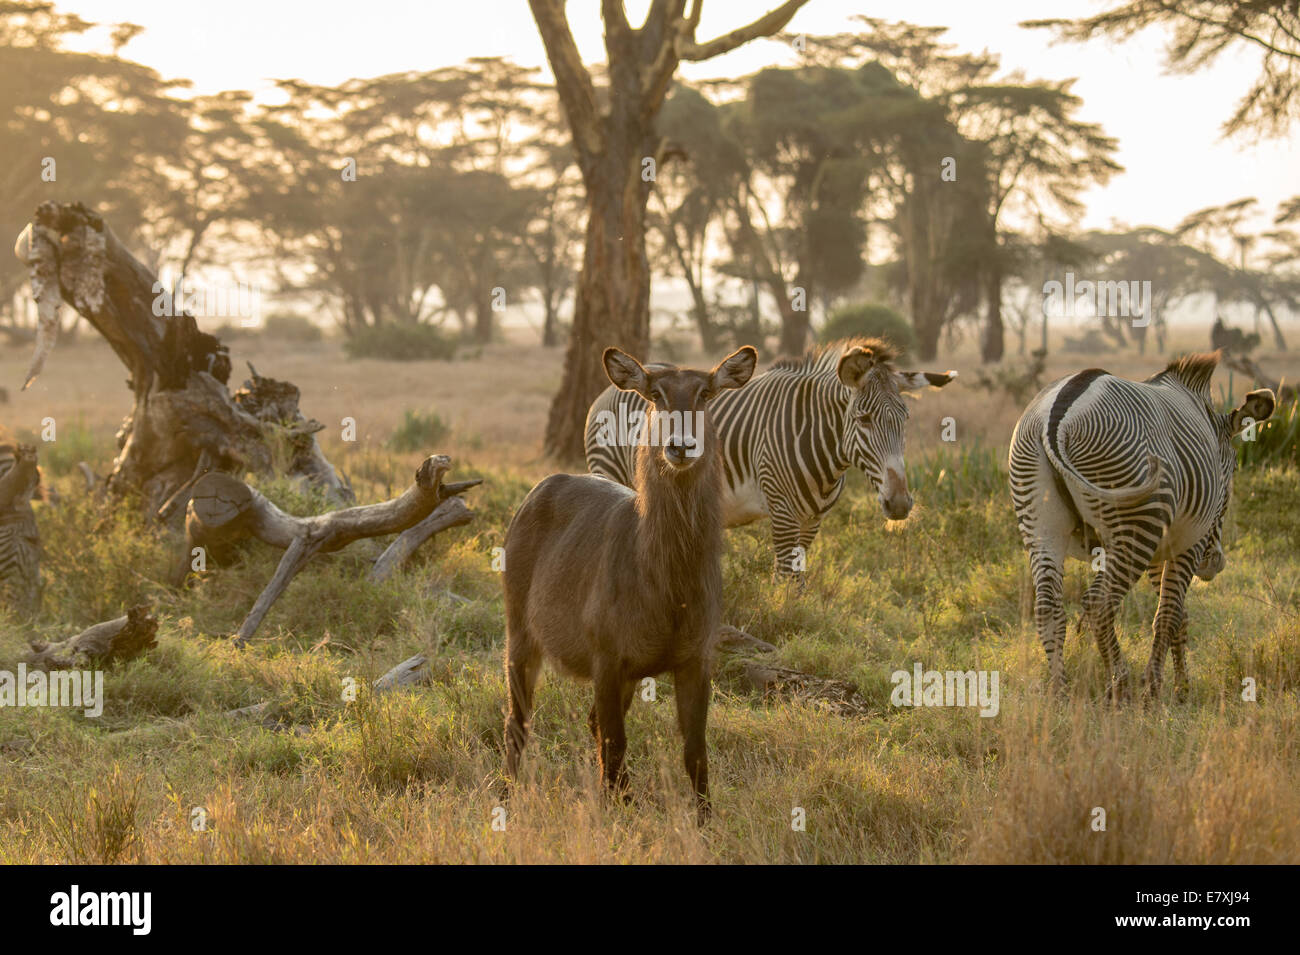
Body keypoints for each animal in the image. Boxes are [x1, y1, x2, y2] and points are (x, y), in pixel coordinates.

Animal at [501, 348, 759, 815]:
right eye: (656, 393)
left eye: (705, 393)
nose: (680, 446)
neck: (669, 585)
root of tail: (543, 486)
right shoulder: (606, 659)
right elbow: (616, 742)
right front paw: (614, 816)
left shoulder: (695, 660)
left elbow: (696, 751)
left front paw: (705, 821)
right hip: (521, 638)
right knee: (519, 722)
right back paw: (506, 799)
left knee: (589, 723)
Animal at [587, 340, 956, 579]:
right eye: (863, 419)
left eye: (905, 420)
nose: (900, 504)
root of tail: (607, 390)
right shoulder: (782, 513)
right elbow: (785, 577)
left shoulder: (812, 520)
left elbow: (799, 579)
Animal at [1008, 353, 1274, 701]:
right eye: (1231, 477)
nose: (1215, 564)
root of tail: (1054, 421)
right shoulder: (1187, 543)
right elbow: (1169, 614)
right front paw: (1156, 689)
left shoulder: (1159, 549)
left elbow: (1178, 615)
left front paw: (1182, 687)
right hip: (1135, 523)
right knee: (1099, 604)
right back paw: (1120, 684)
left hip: (1040, 521)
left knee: (1048, 606)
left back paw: (1060, 691)